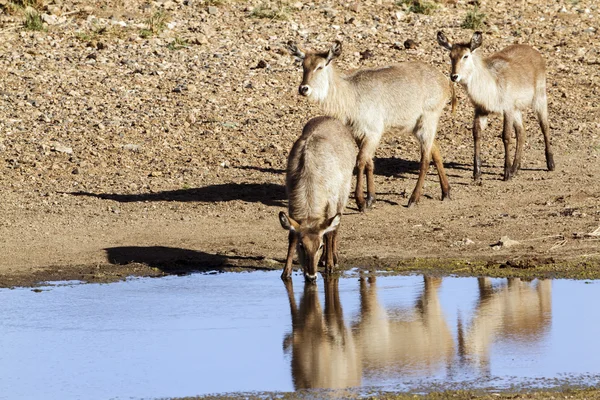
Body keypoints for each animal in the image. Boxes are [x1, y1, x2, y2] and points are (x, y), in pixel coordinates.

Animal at [278, 115, 356, 282]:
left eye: (319, 246)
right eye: (301, 246)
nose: (311, 275)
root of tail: (331, 118)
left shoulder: (331, 201)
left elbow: (329, 233)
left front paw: (330, 266)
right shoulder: (292, 203)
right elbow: (291, 236)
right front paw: (286, 272)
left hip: (343, 194)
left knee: (335, 228)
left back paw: (332, 258)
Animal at [288, 40, 452, 209]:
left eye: (320, 66)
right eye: (303, 66)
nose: (303, 88)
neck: (351, 94)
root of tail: (444, 80)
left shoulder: (373, 133)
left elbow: (360, 161)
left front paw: (361, 201)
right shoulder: (358, 134)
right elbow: (369, 163)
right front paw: (371, 198)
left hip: (428, 121)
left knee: (425, 159)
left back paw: (414, 198)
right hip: (417, 126)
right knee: (435, 151)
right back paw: (445, 192)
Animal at [438, 31, 556, 181]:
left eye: (466, 56)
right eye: (450, 56)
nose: (454, 76)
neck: (490, 83)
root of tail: (535, 51)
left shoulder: (507, 109)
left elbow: (506, 136)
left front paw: (506, 173)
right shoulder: (481, 110)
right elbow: (476, 134)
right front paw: (477, 173)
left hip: (539, 99)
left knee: (544, 126)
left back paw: (550, 164)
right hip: (517, 110)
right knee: (521, 132)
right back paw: (515, 168)